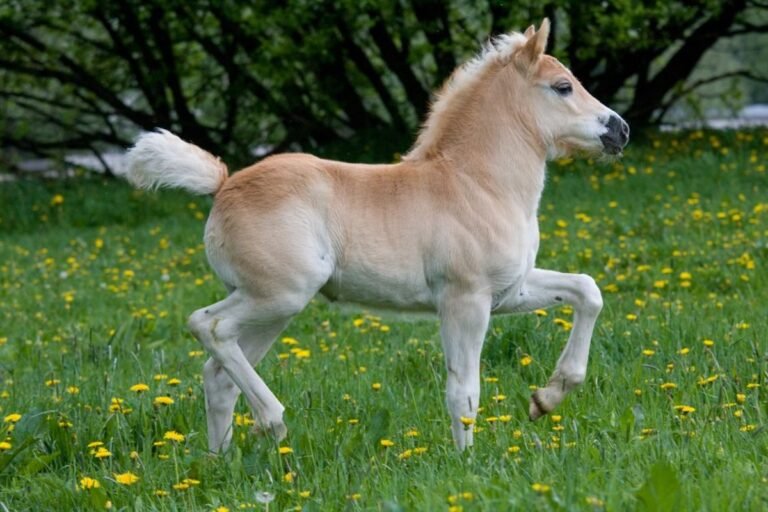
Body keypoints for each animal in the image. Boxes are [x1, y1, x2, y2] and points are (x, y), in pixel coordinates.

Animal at [121, 19, 629, 452]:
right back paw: (272, 421)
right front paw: (466, 466)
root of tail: (224, 184)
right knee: (208, 325)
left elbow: (588, 291)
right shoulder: (465, 300)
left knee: (218, 373)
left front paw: (547, 399)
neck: (477, 183)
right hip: (279, 295)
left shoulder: (509, 292)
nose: (620, 130)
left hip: (272, 308)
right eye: (562, 87)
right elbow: (463, 390)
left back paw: (221, 462)